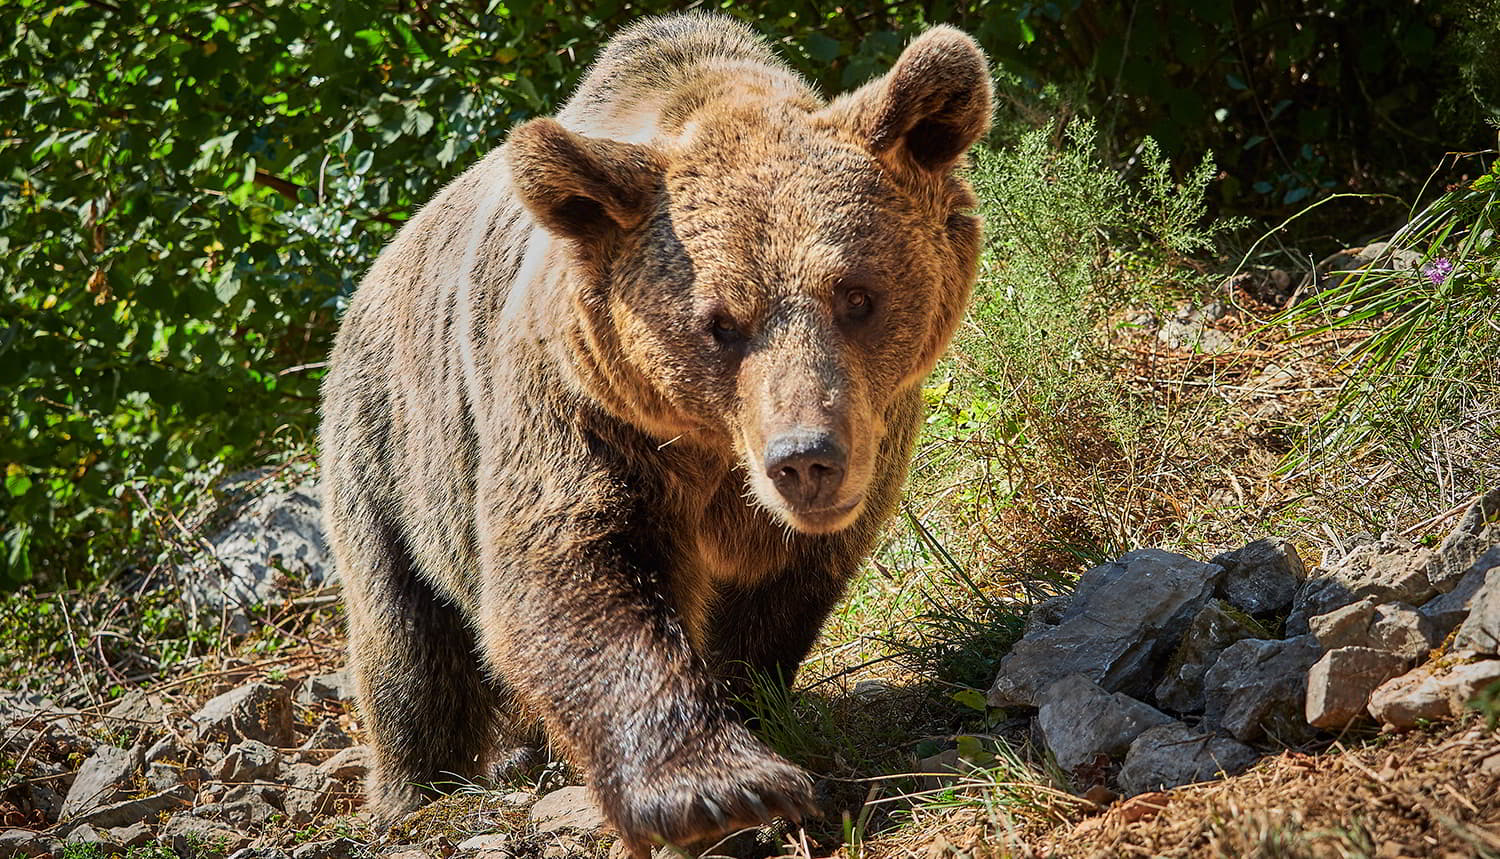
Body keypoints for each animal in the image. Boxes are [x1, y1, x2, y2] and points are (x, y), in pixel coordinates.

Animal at [319, 12, 991, 858]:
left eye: (856, 294)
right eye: (720, 323)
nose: (805, 459)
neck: (715, 451)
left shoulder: (871, 440)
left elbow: (777, 600)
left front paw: (750, 717)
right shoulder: (584, 407)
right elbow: (570, 565)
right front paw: (719, 789)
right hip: (391, 455)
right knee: (408, 642)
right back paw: (417, 789)